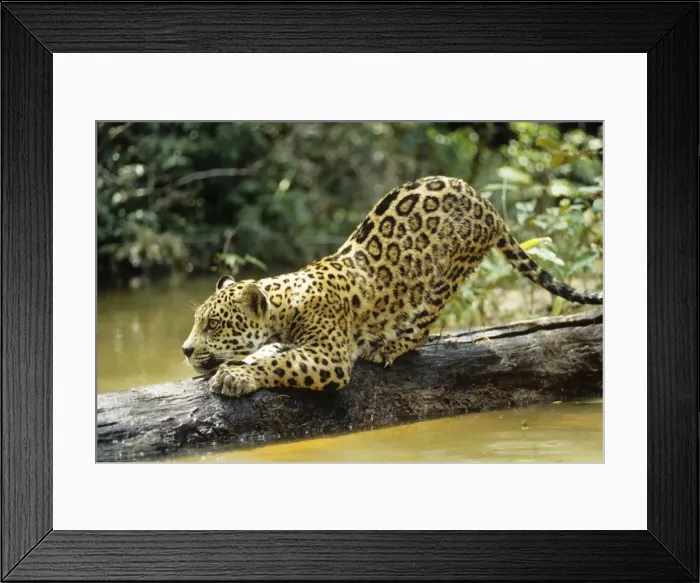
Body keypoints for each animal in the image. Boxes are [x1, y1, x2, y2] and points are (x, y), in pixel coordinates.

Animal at [182, 175, 602, 398]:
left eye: (213, 325)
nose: (185, 350)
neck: (286, 304)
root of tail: (484, 201)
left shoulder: (330, 358)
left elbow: (280, 363)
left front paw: (237, 376)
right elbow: (266, 352)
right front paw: (241, 363)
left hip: (445, 276)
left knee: (422, 328)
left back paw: (388, 347)